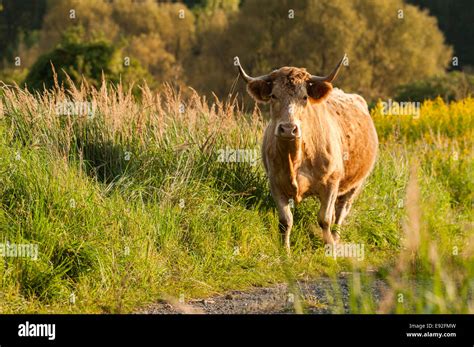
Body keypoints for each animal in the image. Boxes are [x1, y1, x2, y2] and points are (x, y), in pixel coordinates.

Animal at [236, 56, 378, 253]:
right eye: (273, 96)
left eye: (304, 97)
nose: (288, 128)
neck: (295, 158)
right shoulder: (275, 183)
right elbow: (285, 221)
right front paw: (285, 251)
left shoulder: (331, 183)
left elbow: (324, 219)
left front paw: (330, 249)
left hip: (355, 184)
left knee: (340, 212)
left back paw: (336, 239)